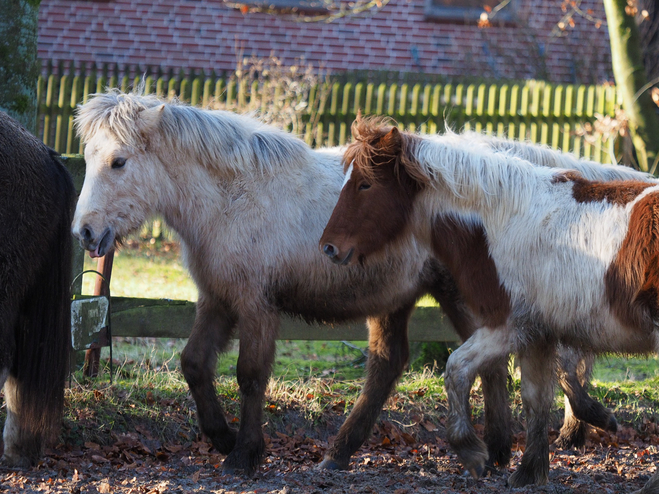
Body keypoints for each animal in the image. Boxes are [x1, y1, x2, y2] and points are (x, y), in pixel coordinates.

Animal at [322, 116, 659, 490]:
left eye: (365, 185)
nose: (329, 247)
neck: (504, 223)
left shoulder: (508, 325)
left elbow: (456, 370)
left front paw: (472, 452)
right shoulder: (537, 335)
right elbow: (535, 399)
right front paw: (528, 472)